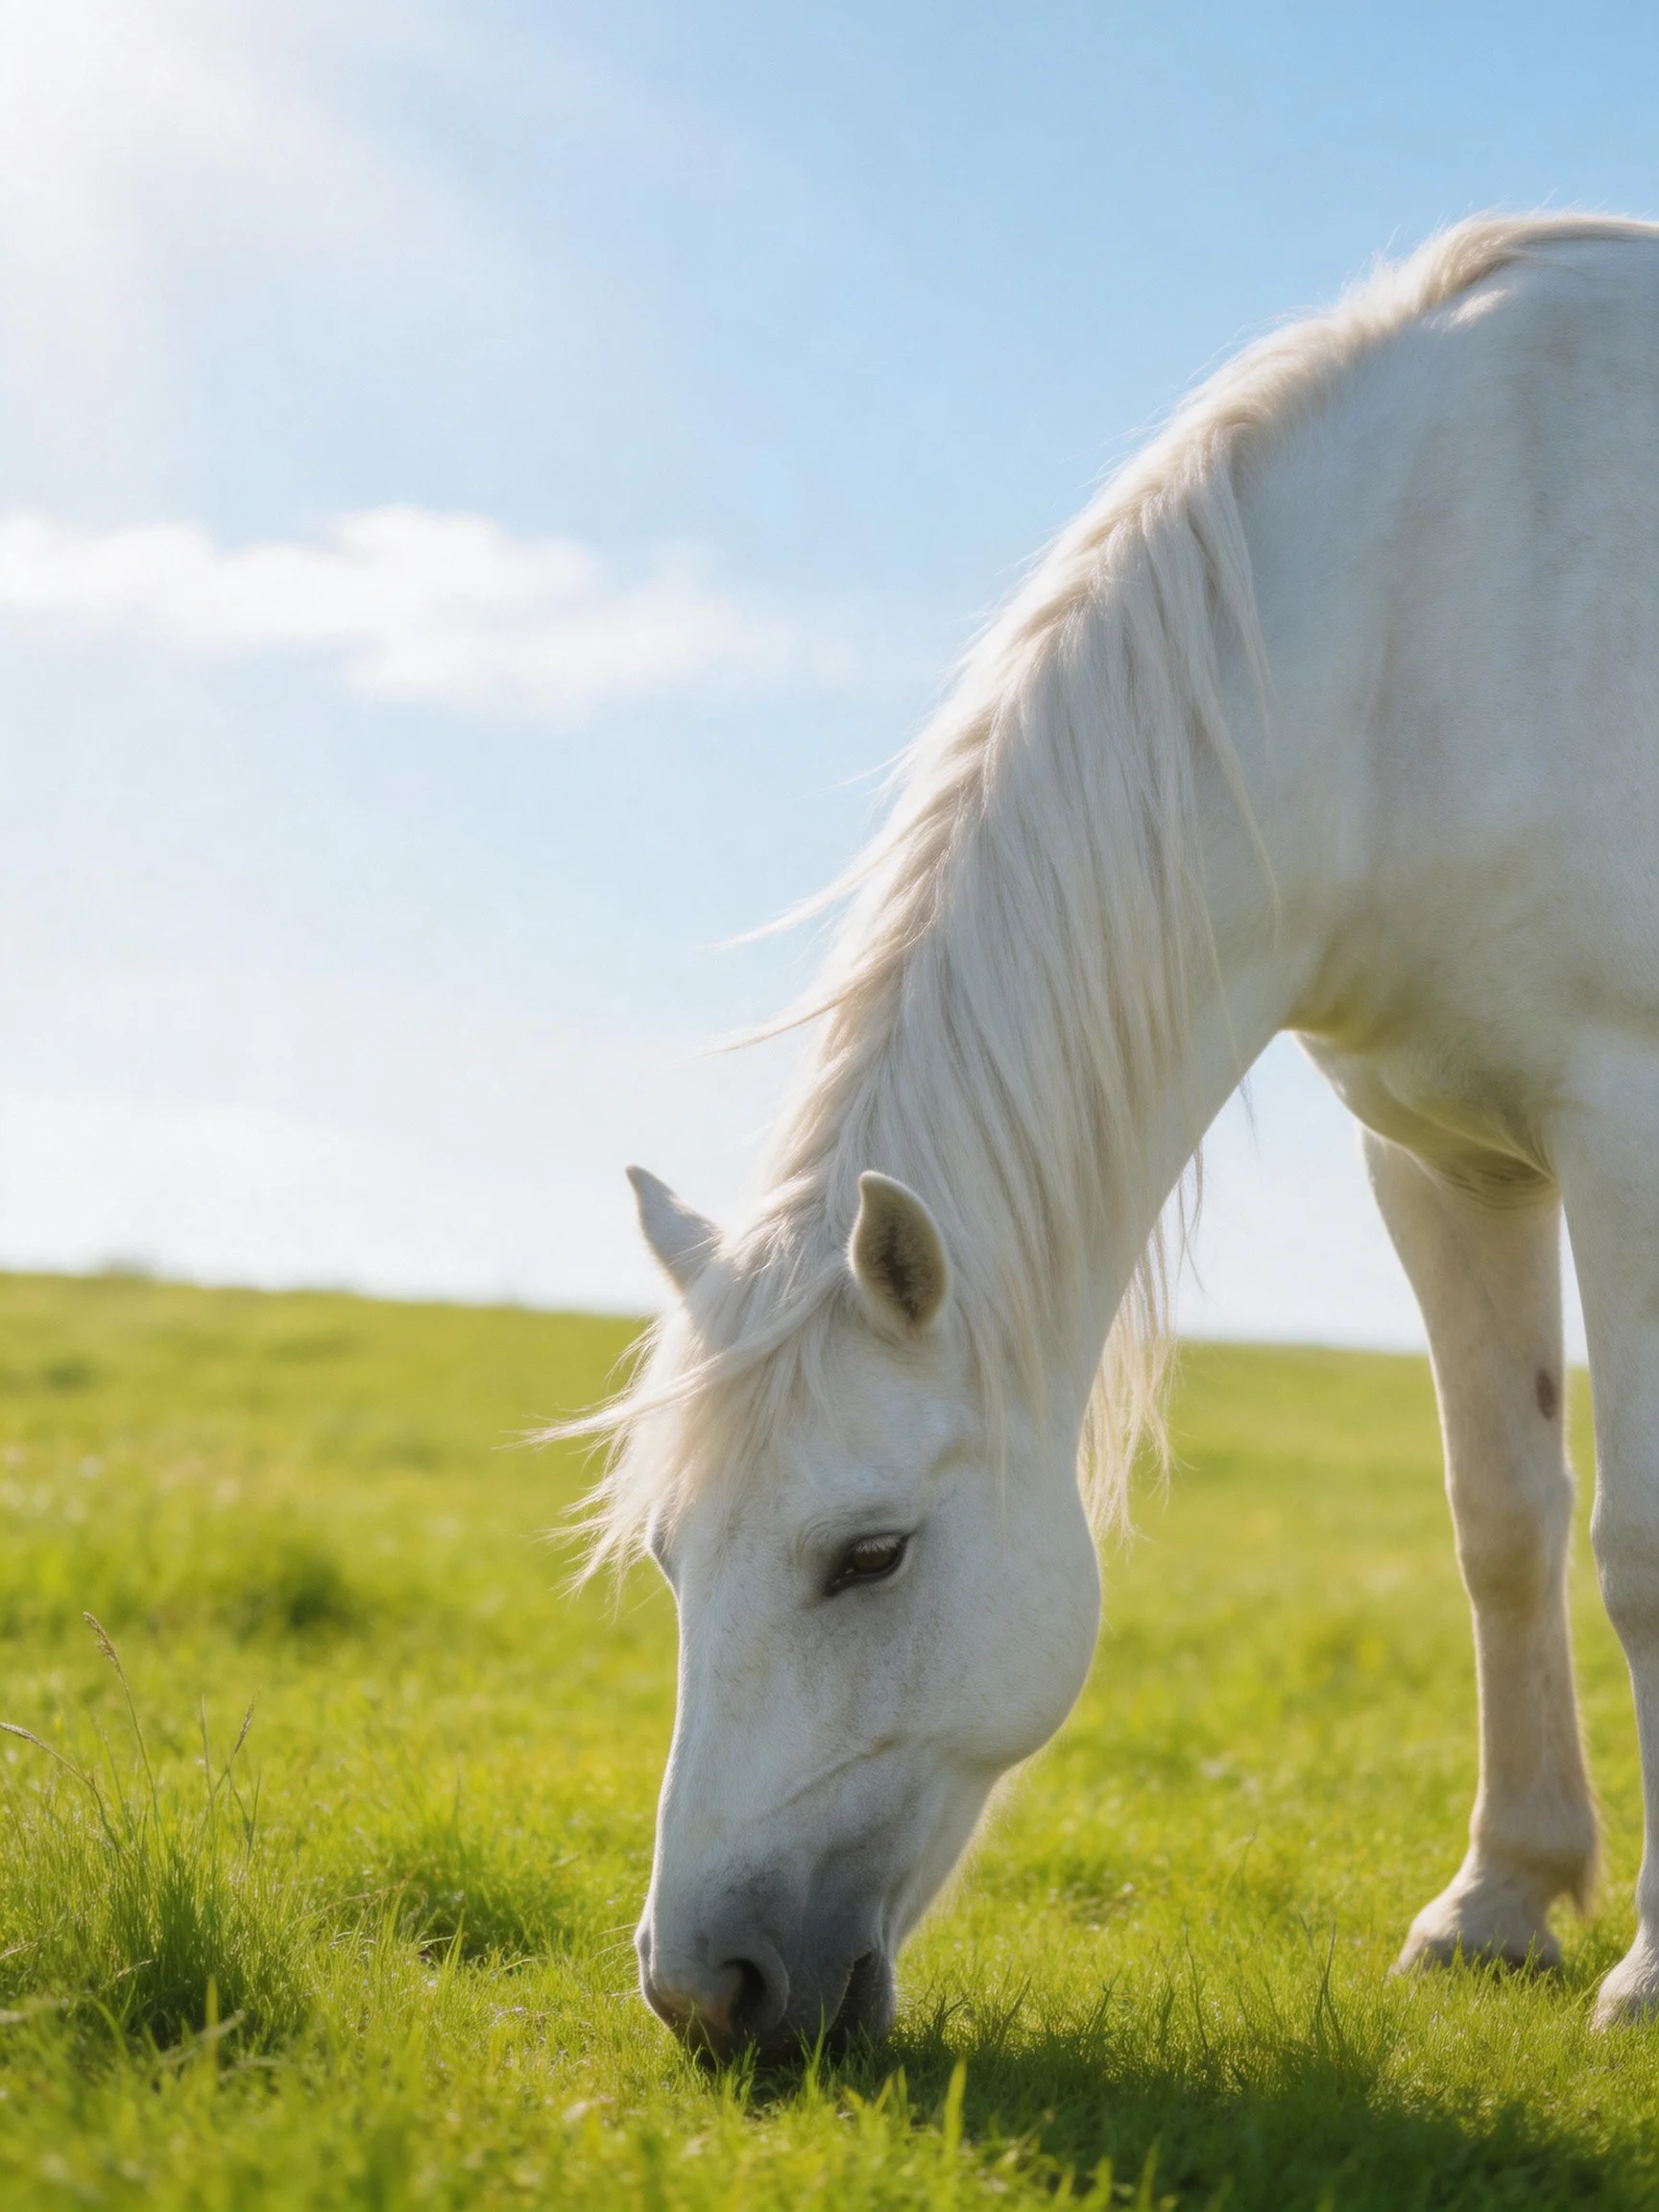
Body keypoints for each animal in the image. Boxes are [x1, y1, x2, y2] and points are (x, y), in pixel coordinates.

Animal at [589, 214, 1659, 2058]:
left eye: (868, 1556)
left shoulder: (1628, 1121)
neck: (1428, 620)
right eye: (669, 1556)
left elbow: (1640, 1548)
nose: (704, 1993)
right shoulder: (1442, 1156)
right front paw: (1495, 1905)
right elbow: (1503, 1518)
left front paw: (1648, 1969)